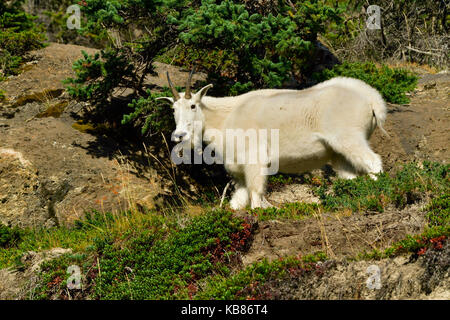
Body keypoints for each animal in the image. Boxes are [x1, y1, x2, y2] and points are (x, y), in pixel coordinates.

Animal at [158, 70, 386, 210]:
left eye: (193, 105)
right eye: (173, 109)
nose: (180, 135)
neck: (226, 117)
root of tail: (372, 99)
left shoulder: (255, 161)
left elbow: (256, 199)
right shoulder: (240, 173)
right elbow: (237, 203)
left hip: (349, 138)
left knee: (374, 163)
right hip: (338, 154)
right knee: (351, 177)